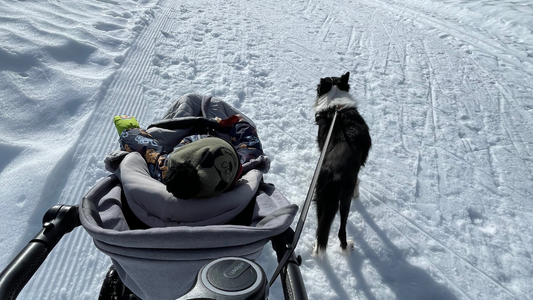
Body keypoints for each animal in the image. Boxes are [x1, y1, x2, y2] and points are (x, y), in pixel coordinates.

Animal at [312, 71, 370, 254]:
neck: (336, 108)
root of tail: (333, 172)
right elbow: (359, 181)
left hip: (320, 198)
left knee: (320, 231)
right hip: (343, 200)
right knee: (340, 231)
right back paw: (347, 247)